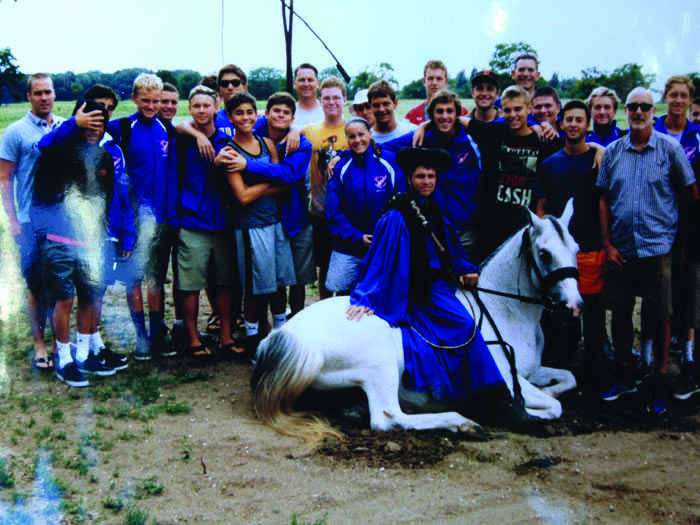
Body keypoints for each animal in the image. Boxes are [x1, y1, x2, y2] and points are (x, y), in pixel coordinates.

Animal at [250, 201, 580, 442]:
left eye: (576, 248)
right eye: (544, 253)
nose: (574, 306)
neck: (503, 312)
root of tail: (282, 336)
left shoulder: (532, 371)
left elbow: (568, 379)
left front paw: (551, 391)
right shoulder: (510, 379)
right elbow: (553, 406)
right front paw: (530, 412)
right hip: (381, 365)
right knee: (387, 417)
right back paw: (463, 422)